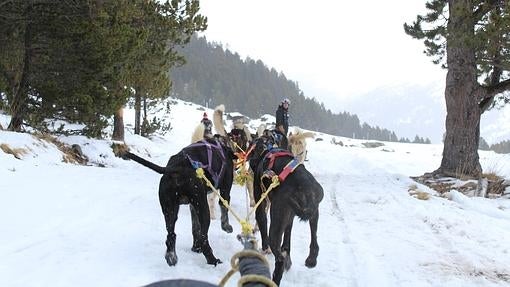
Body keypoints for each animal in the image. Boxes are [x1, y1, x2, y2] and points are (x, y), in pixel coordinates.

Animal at [123, 138, 235, 268]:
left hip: (170, 210)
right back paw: (213, 260)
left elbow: (195, 228)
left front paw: (195, 247)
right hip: (203, 208)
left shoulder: (193, 206)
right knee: (204, 238)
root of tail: (176, 168)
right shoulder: (225, 191)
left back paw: (171, 257)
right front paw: (227, 227)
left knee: (171, 235)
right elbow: (224, 209)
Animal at [247, 133, 322, 286]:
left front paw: (265, 249)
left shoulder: (261, 204)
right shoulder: (289, 217)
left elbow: (262, 226)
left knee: (279, 259)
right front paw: (287, 253)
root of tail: (303, 186)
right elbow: (287, 239)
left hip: (276, 224)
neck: (266, 147)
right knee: (314, 239)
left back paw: (275, 276)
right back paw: (311, 259)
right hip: (312, 213)